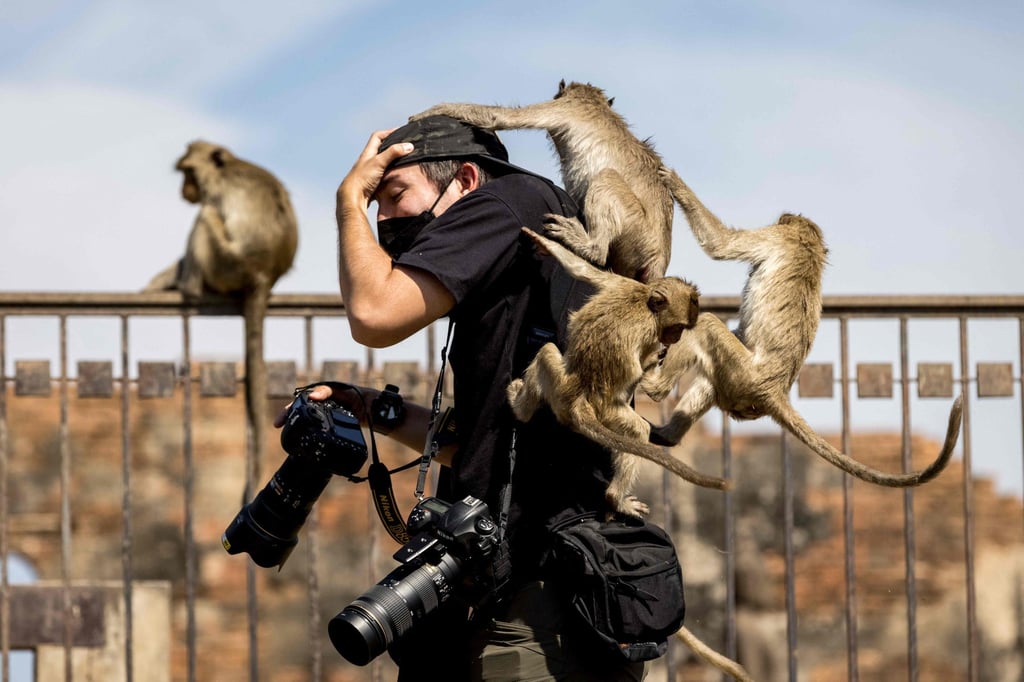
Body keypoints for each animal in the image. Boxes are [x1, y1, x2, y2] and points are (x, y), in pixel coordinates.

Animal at [145, 140, 298, 494]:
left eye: (188, 172)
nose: (184, 190)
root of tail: (262, 276)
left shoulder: (215, 194)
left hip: (226, 263)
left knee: (205, 217)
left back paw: (188, 287)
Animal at [411, 80, 673, 283]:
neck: (594, 103)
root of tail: (659, 255)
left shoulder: (567, 107)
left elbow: (500, 118)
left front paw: (430, 112)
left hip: (635, 228)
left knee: (606, 178)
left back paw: (591, 247)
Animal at [506, 228, 729, 517]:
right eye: (677, 327)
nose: (676, 338)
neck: (645, 303)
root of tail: (578, 401)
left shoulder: (623, 285)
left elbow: (582, 270)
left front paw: (546, 244)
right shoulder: (647, 328)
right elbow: (641, 376)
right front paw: (653, 362)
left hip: (558, 385)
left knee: (546, 353)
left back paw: (520, 409)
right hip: (605, 412)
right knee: (636, 430)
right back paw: (615, 498)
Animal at [643, 166, 963, 488]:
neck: (809, 243)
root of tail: (774, 391)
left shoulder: (777, 237)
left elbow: (721, 244)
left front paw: (675, 182)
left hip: (744, 375)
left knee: (706, 325)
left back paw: (654, 387)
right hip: (739, 384)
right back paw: (667, 436)